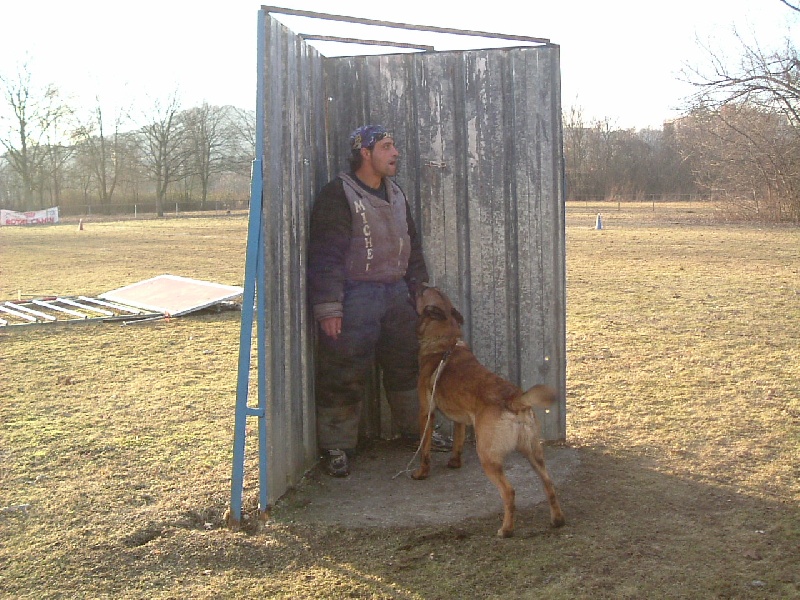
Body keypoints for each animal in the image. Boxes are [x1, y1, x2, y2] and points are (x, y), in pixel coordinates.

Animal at [412, 284, 564, 536]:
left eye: (424, 292)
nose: (418, 282)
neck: (445, 341)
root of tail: (515, 400)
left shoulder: (426, 412)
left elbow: (424, 450)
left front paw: (421, 473)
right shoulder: (460, 420)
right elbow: (458, 441)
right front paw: (454, 462)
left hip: (488, 457)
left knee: (509, 491)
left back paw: (506, 530)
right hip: (534, 453)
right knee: (549, 483)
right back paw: (557, 519)